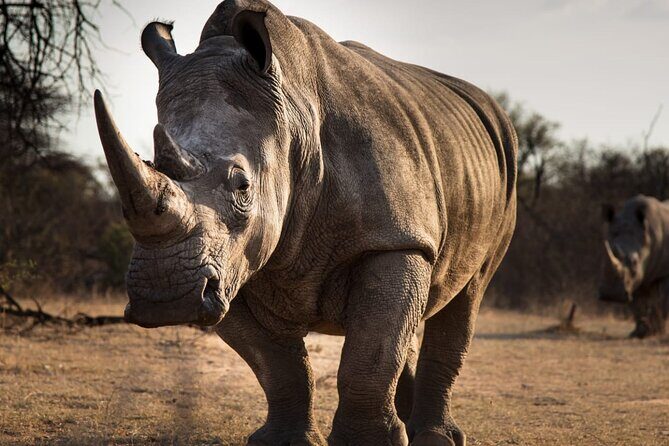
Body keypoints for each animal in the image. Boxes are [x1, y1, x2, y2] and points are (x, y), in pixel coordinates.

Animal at [94, 1, 517, 444]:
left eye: (243, 186)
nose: (166, 298)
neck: (294, 120)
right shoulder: (231, 266)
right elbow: (280, 367)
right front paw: (284, 441)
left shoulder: (394, 239)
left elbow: (369, 357)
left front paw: (366, 443)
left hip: (503, 172)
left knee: (467, 294)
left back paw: (435, 437)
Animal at [600, 195, 669, 338]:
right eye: (602, 260)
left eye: (635, 262)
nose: (610, 294)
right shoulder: (634, 280)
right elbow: (637, 304)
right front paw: (640, 333)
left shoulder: (664, 272)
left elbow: (664, 301)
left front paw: (659, 332)